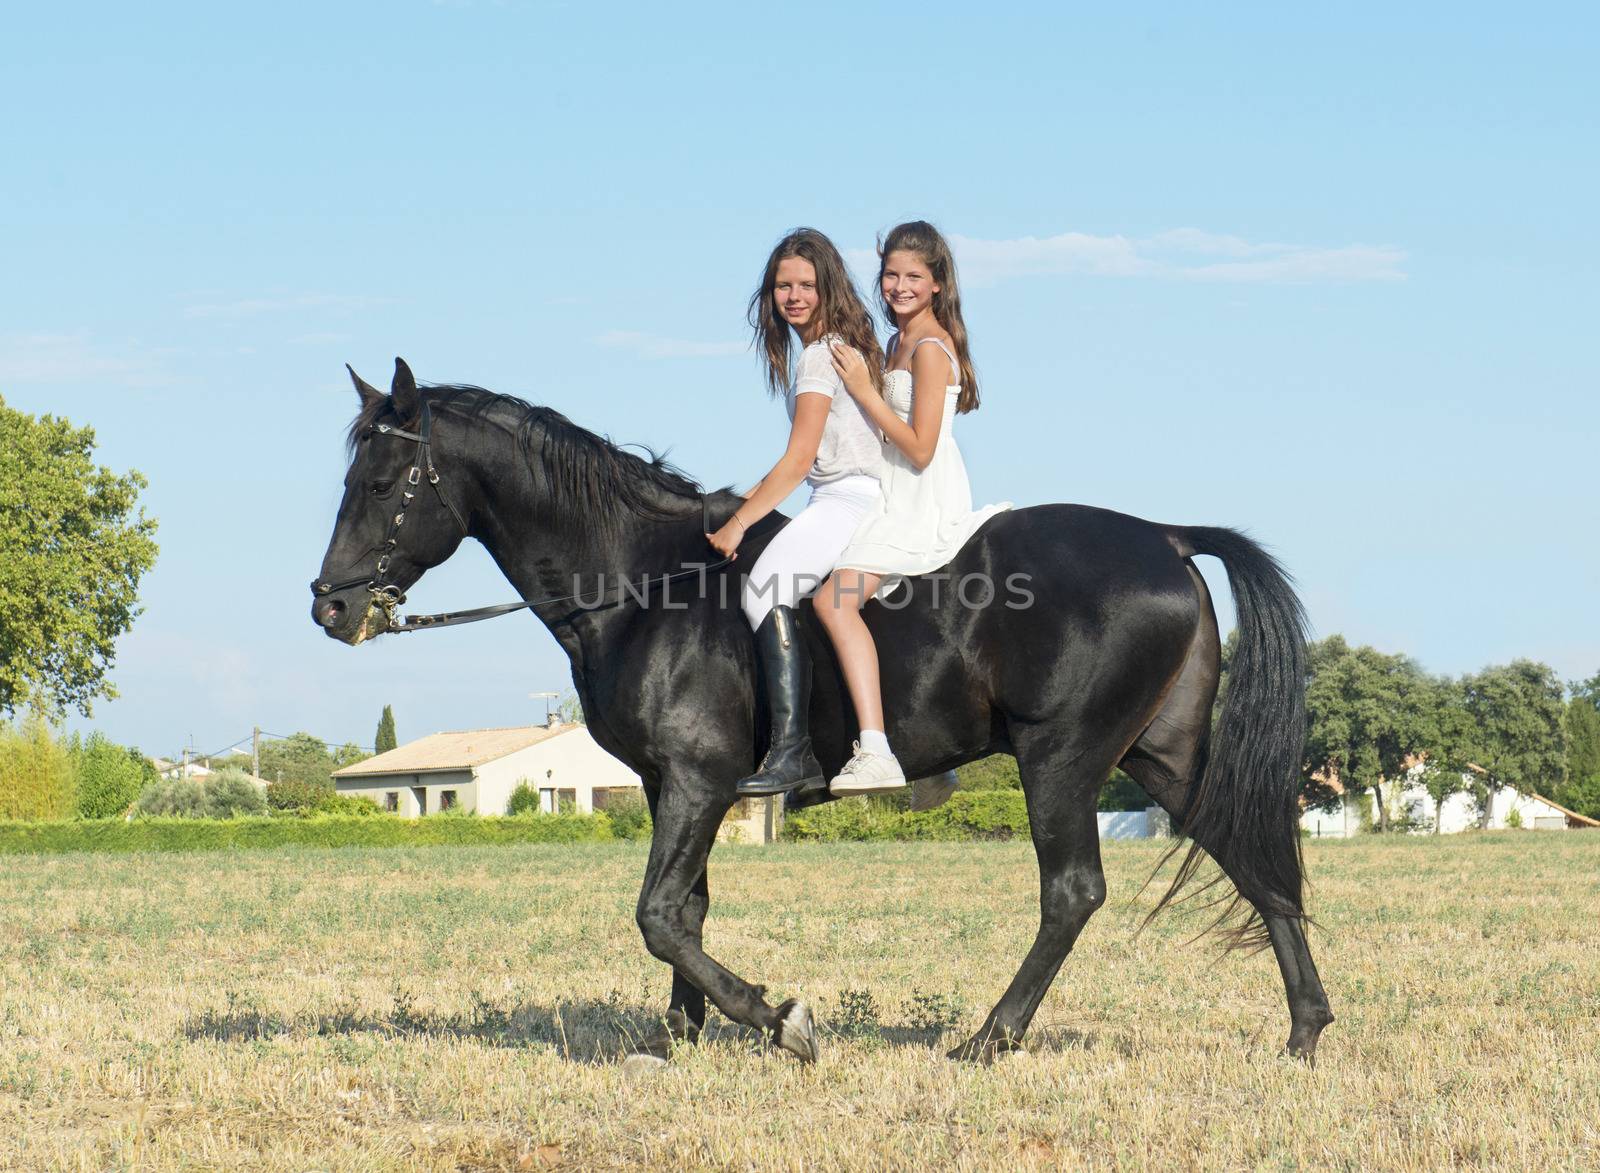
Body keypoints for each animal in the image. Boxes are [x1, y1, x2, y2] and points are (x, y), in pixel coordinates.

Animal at [312, 361, 1337, 1068]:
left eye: (379, 486)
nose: (330, 606)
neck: (647, 582)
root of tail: (1167, 537)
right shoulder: (668, 784)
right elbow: (688, 907)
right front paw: (677, 1037)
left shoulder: (699, 778)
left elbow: (658, 913)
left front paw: (779, 1019)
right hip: (1159, 756)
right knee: (1250, 858)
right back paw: (1303, 1032)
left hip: (1063, 756)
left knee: (1074, 892)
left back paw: (989, 1038)